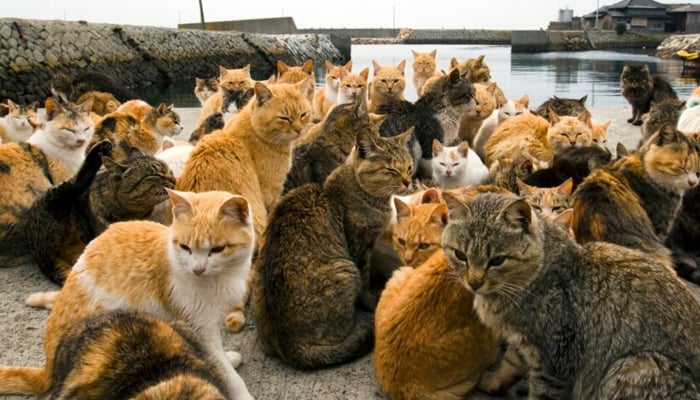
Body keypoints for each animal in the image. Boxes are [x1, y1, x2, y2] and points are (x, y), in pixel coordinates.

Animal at [252, 127, 416, 368]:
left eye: (409, 166)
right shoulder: (360, 248)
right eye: (391, 169)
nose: (408, 181)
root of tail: (289, 345)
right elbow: (365, 283)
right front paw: (371, 301)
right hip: (346, 270)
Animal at [440, 192, 700, 398]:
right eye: (460, 255)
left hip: (634, 365)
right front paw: (493, 382)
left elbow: (541, 393)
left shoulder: (555, 360)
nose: (474, 282)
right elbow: (511, 362)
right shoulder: (524, 341)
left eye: (497, 261)